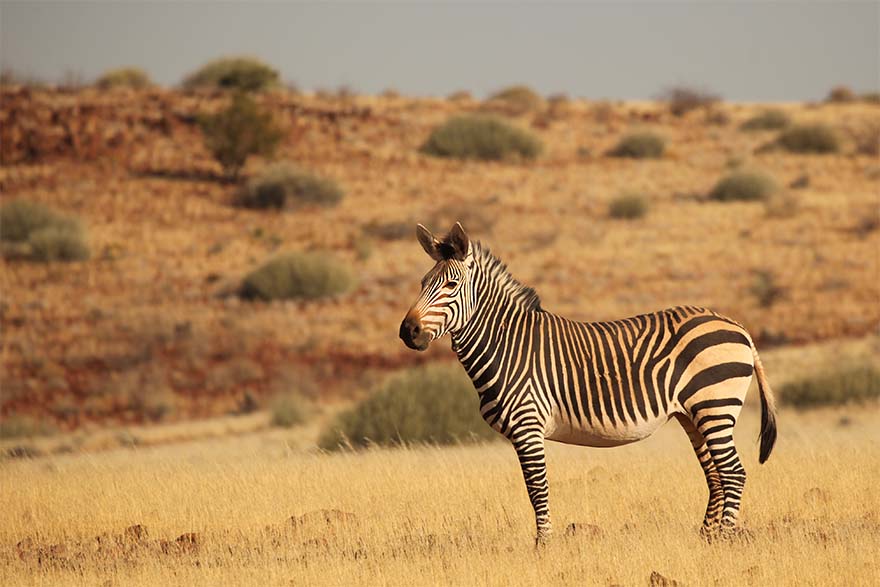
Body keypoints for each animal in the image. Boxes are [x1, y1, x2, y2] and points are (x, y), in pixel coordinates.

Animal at [399, 222, 778, 545]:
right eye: (422, 283)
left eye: (451, 286)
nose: (408, 332)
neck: (507, 344)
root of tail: (737, 326)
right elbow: (535, 489)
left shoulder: (528, 425)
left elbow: (537, 488)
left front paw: (543, 548)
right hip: (693, 415)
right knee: (715, 476)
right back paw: (705, 539)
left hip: (713, 407)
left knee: (733, 473)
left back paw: (723, 540)